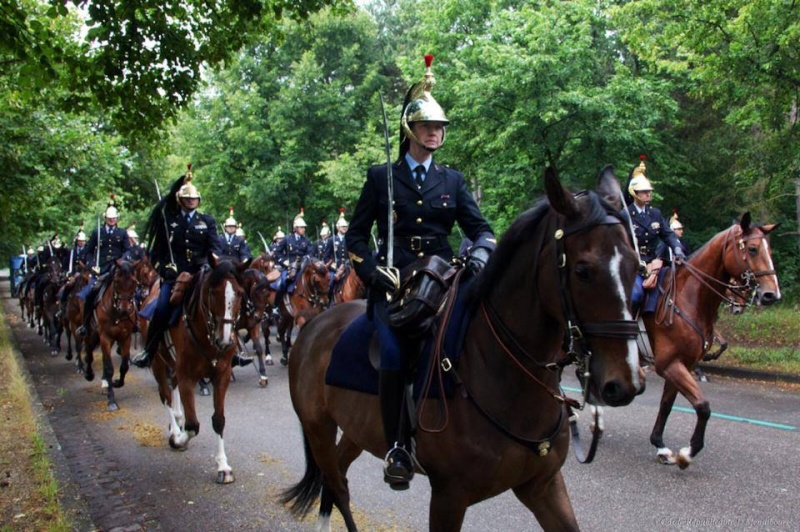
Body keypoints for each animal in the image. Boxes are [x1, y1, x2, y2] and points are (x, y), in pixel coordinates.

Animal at [83, 258, 139, 412]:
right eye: (117, 282)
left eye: (134, 282)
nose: (124, 310)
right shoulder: (105, 337)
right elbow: (109, 368)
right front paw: (111, 400)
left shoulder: (125, 337)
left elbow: (124, 366)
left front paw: (116, 383)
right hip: (92, 333)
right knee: (89, 353)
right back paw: (89, 374)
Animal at [148, 260, 245, 484]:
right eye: (213, 292)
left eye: (239, 293)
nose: (224, 341)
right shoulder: (187, 378)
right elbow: (193, 425)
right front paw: (178, 439)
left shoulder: (222, 376)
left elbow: (218, 420)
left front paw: (223, 466)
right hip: (158, 364)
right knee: (165, 395)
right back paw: (175, 429)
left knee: (172, 388)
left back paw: (177, 419)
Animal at [282, 167, 644, 532]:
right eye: (583, 271)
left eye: (636, 267)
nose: (624, 383)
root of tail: (314, 326)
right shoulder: (449, 496)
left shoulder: (542, 485)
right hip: (319, 429)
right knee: (337, 485)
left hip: (354, 431)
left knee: (337, 478)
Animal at [644, 210, 780, 468]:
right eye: (753, 248)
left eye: (770, 249)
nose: (772, 295)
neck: (687, 296)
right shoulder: (668, 364)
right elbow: (703, 406)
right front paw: (688, 453)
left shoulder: (680, 363)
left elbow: (666, 405)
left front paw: (661, 446)